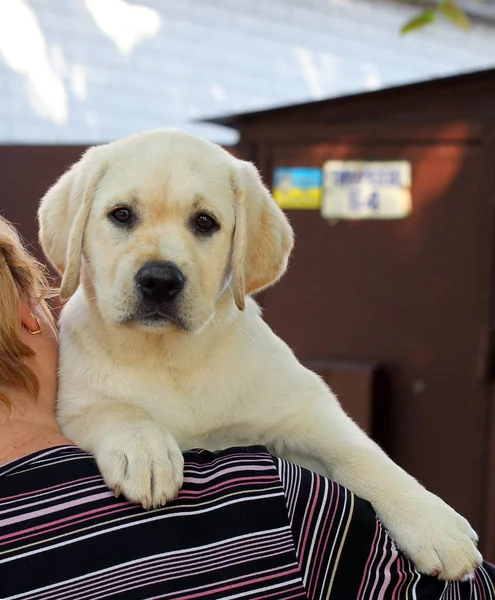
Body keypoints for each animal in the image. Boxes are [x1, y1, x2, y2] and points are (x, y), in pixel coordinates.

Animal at [40, 130, 482, 580]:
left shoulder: (305, 411)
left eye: (204, 222)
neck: (171, 356)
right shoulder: (73, 408)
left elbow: (361, 454)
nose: (159, 280)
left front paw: (433, 524)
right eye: (122, 215)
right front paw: (144, 452)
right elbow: (116, 409)